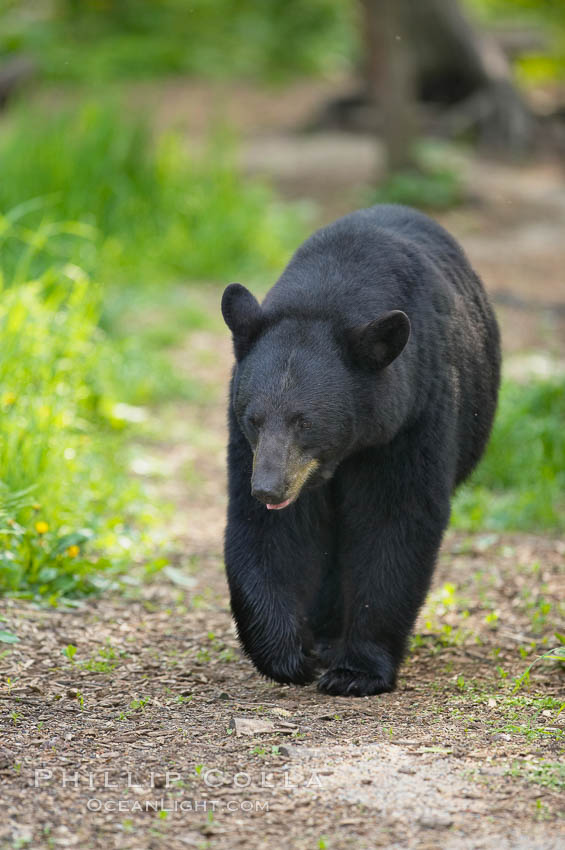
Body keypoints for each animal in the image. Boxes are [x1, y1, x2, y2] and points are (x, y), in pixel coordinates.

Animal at [220, 205, 498, 696]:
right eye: (255, 418)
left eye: (305, 421)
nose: (269, 489)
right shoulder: (249, 447)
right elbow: (268, 531)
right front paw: (288, 655)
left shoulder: (413, 417)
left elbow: (394, 522)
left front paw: (357, 671)